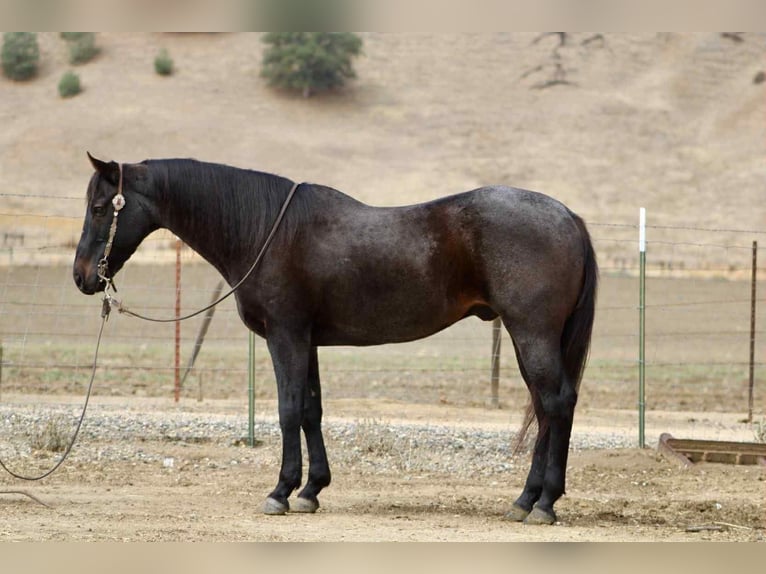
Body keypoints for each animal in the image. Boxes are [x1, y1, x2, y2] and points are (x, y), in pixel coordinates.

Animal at [73, 154, 597, 525]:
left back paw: (543, 503)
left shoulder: (285, 336)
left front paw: (280, 492)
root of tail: (568, 216)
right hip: (528, 337)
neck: (266, 231)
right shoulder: (308, 341)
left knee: (556, 404)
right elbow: (311, 410)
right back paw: (527, 500)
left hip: (530, 332)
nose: (82, 277)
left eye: (100, 208)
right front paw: (310, 491)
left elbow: (288, 410)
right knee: (545, 408)